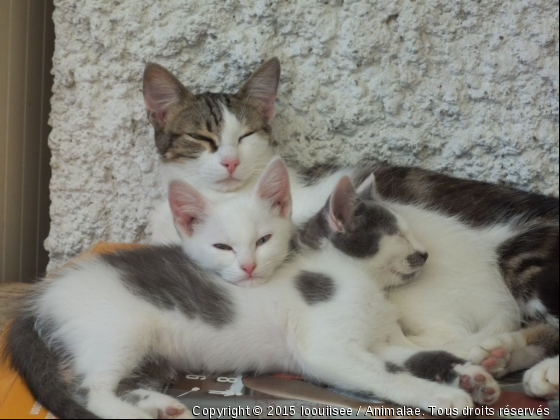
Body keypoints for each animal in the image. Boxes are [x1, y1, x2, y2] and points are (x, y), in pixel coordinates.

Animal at [6, 159, 500, 418]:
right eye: (396, 234)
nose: (424, 253)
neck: (360, 282)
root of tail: (41, 297)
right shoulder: (327, 350)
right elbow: (388, 375)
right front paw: (443, 394)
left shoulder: (384, 341)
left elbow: (419, 354)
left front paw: (471, 373)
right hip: (117, 331)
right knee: (89, 389)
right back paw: (132, 413)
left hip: (153, 355)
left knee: (121, 382)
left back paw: (159, 404)